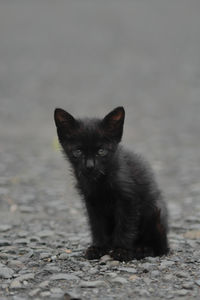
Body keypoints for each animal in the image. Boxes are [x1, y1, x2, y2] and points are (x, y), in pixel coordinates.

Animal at [54, 107, 169, 260]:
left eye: (101, 151)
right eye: (78, 152)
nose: (89, 166)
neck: (99, 181)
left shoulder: (128, 200)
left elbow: (125, 226)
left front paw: (121, 250)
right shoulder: (91, 202)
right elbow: (97, 225)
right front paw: (98, 247)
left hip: (155, 212)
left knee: (161, 247)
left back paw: (142, 250)